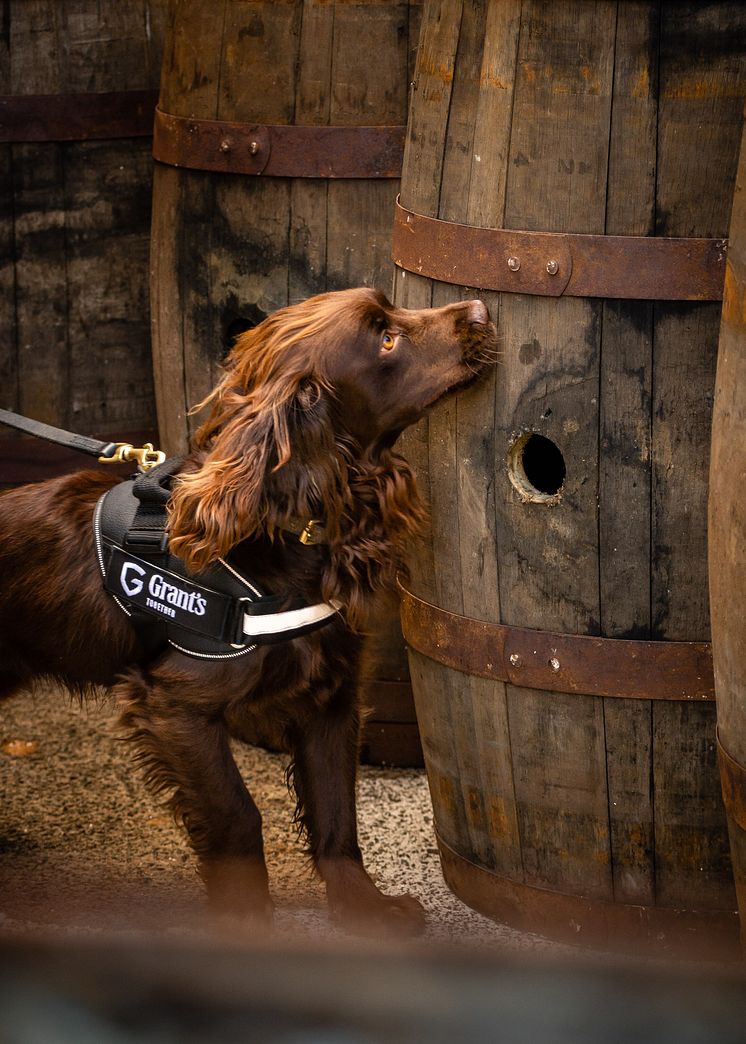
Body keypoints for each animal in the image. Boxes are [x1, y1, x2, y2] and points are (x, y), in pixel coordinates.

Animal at [0, 290, 496, 935]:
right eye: (385, 339)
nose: (483, 311)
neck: (282, 528)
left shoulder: (331, 697)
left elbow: (338, 817)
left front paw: (362, 906)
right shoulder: (174, 707)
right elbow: (239, 817)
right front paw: (244, 918)